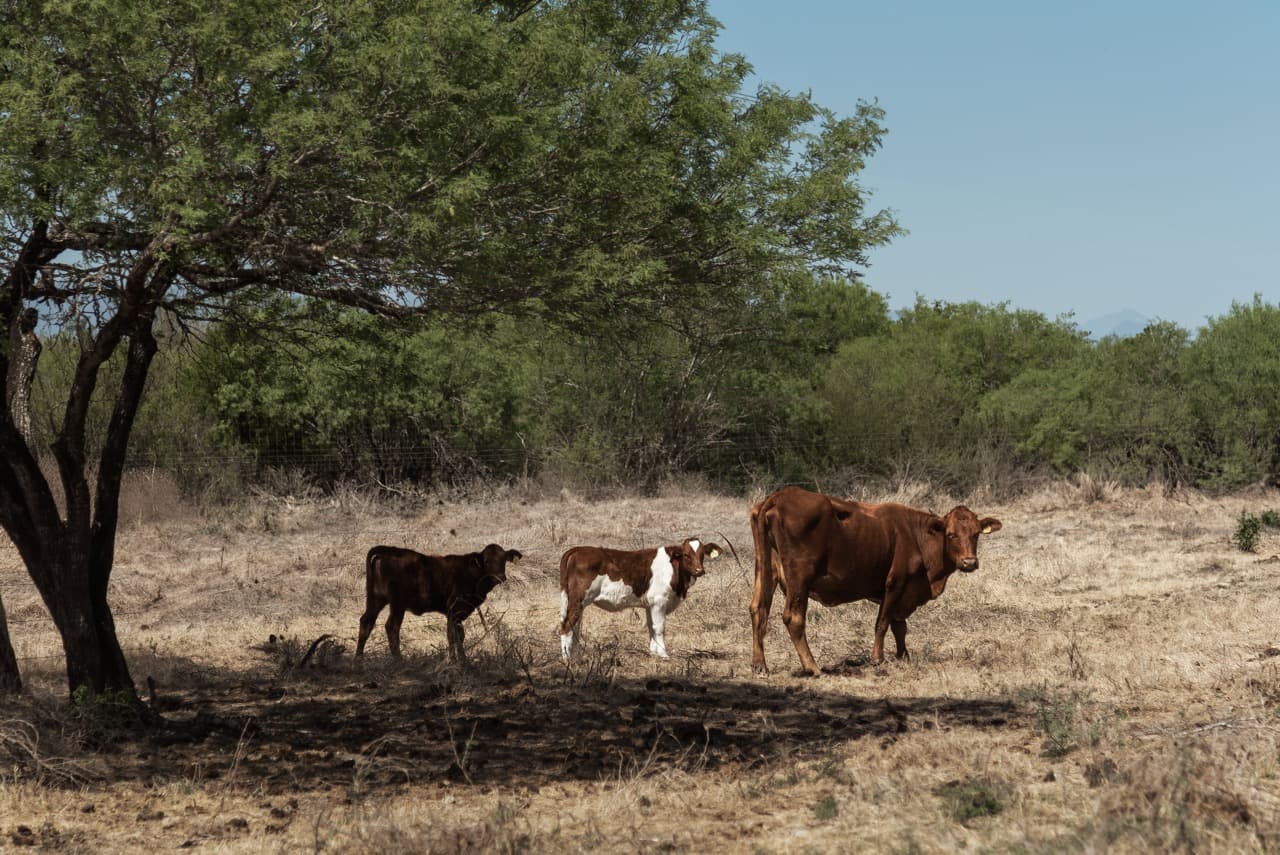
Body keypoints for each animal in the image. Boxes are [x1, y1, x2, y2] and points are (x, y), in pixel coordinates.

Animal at [356, 543, 522, 661]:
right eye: (486, 561)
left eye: (503, 560)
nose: (499, 576)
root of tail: (387, 550)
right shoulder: (455, 609)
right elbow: (453, 635)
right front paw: (457, 661)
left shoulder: (456, 613)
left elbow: (457, 635)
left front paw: (460, 660)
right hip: (397, 603)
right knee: (392, 626)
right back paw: (399, 660)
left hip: (376, 599)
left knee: (366, 622)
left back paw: (358, 659)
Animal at [558, 538, 722, 661]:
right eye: (686, 555)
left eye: (702, 554)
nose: (699, 570)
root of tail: (577, 550)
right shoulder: (659, 602)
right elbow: (659, 627)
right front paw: (663, 654)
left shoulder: (650, 604)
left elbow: (651, 627)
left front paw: (653, 652)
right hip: (578, 599)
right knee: (567, 625)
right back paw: (567, 658)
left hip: (575, 601)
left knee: (575, 626)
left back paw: (576, 656)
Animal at [750, 487, 1001, 676]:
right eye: (951, 535)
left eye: (976, 534)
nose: (969, 562)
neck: (916, 536)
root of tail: (779, 495)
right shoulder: (895, 583)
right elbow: (883, 623)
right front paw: (878, 658)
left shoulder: (906, 592)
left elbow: (900, 626)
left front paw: (903, 656)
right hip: (799, 579)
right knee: (793, 618)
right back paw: (812, 667)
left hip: (765, 570)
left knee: (758, 609)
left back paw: (759, 665)